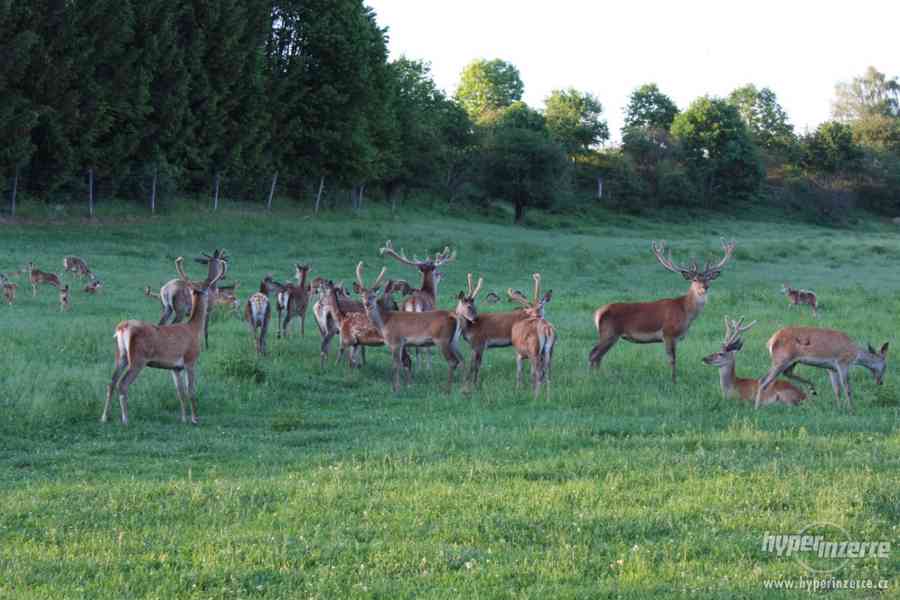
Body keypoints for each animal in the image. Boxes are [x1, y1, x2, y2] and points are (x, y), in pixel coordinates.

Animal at [103, 253, 227, 426]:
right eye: (209, 290)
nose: (214, 300)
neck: (194, 328)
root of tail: (122, 328)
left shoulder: (175, 367)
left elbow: (180, 392)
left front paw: (183, 418)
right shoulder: (190, 359)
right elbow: (191, 390)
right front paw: (195, 418)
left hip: (120, 355)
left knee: (111, 382)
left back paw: (104, 417)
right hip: (138, 358)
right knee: (123, 384)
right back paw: (125, 419)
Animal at [356, 262, 464, 394]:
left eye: (374, 295)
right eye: (362, 295)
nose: (367, 304)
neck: (384, 322)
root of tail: (455, 317)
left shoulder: (396, 341)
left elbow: (396, 365)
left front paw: (396, 388)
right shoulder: (398, 344)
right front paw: (399, 386)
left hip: (442, 339)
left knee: (452, 361)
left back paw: (447, 389)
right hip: (454, 340)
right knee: (462, 360)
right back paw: (465, 387)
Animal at [588, 237, 736, 382]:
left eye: (708, 278)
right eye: (694, 279)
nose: (705, 287)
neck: (685, 311)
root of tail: (598, 313)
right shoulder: (668, 333)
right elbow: (672, 360)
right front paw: (673, 381)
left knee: (598, 356)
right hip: (609, 332)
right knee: (593, 354)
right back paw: (592, 378)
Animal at [756, 328, 888, 412]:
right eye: (885, 365)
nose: (881, 382)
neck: (855, 354)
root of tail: (770, 342)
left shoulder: (831, 368)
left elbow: (837, 389)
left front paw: (839, 408)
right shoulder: (842, 363)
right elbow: (847, 388)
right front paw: (852, 409)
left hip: (791, 362)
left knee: (785, 374)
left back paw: (812, 388)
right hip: (782, 359)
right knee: (764, 380)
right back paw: (757, 407)